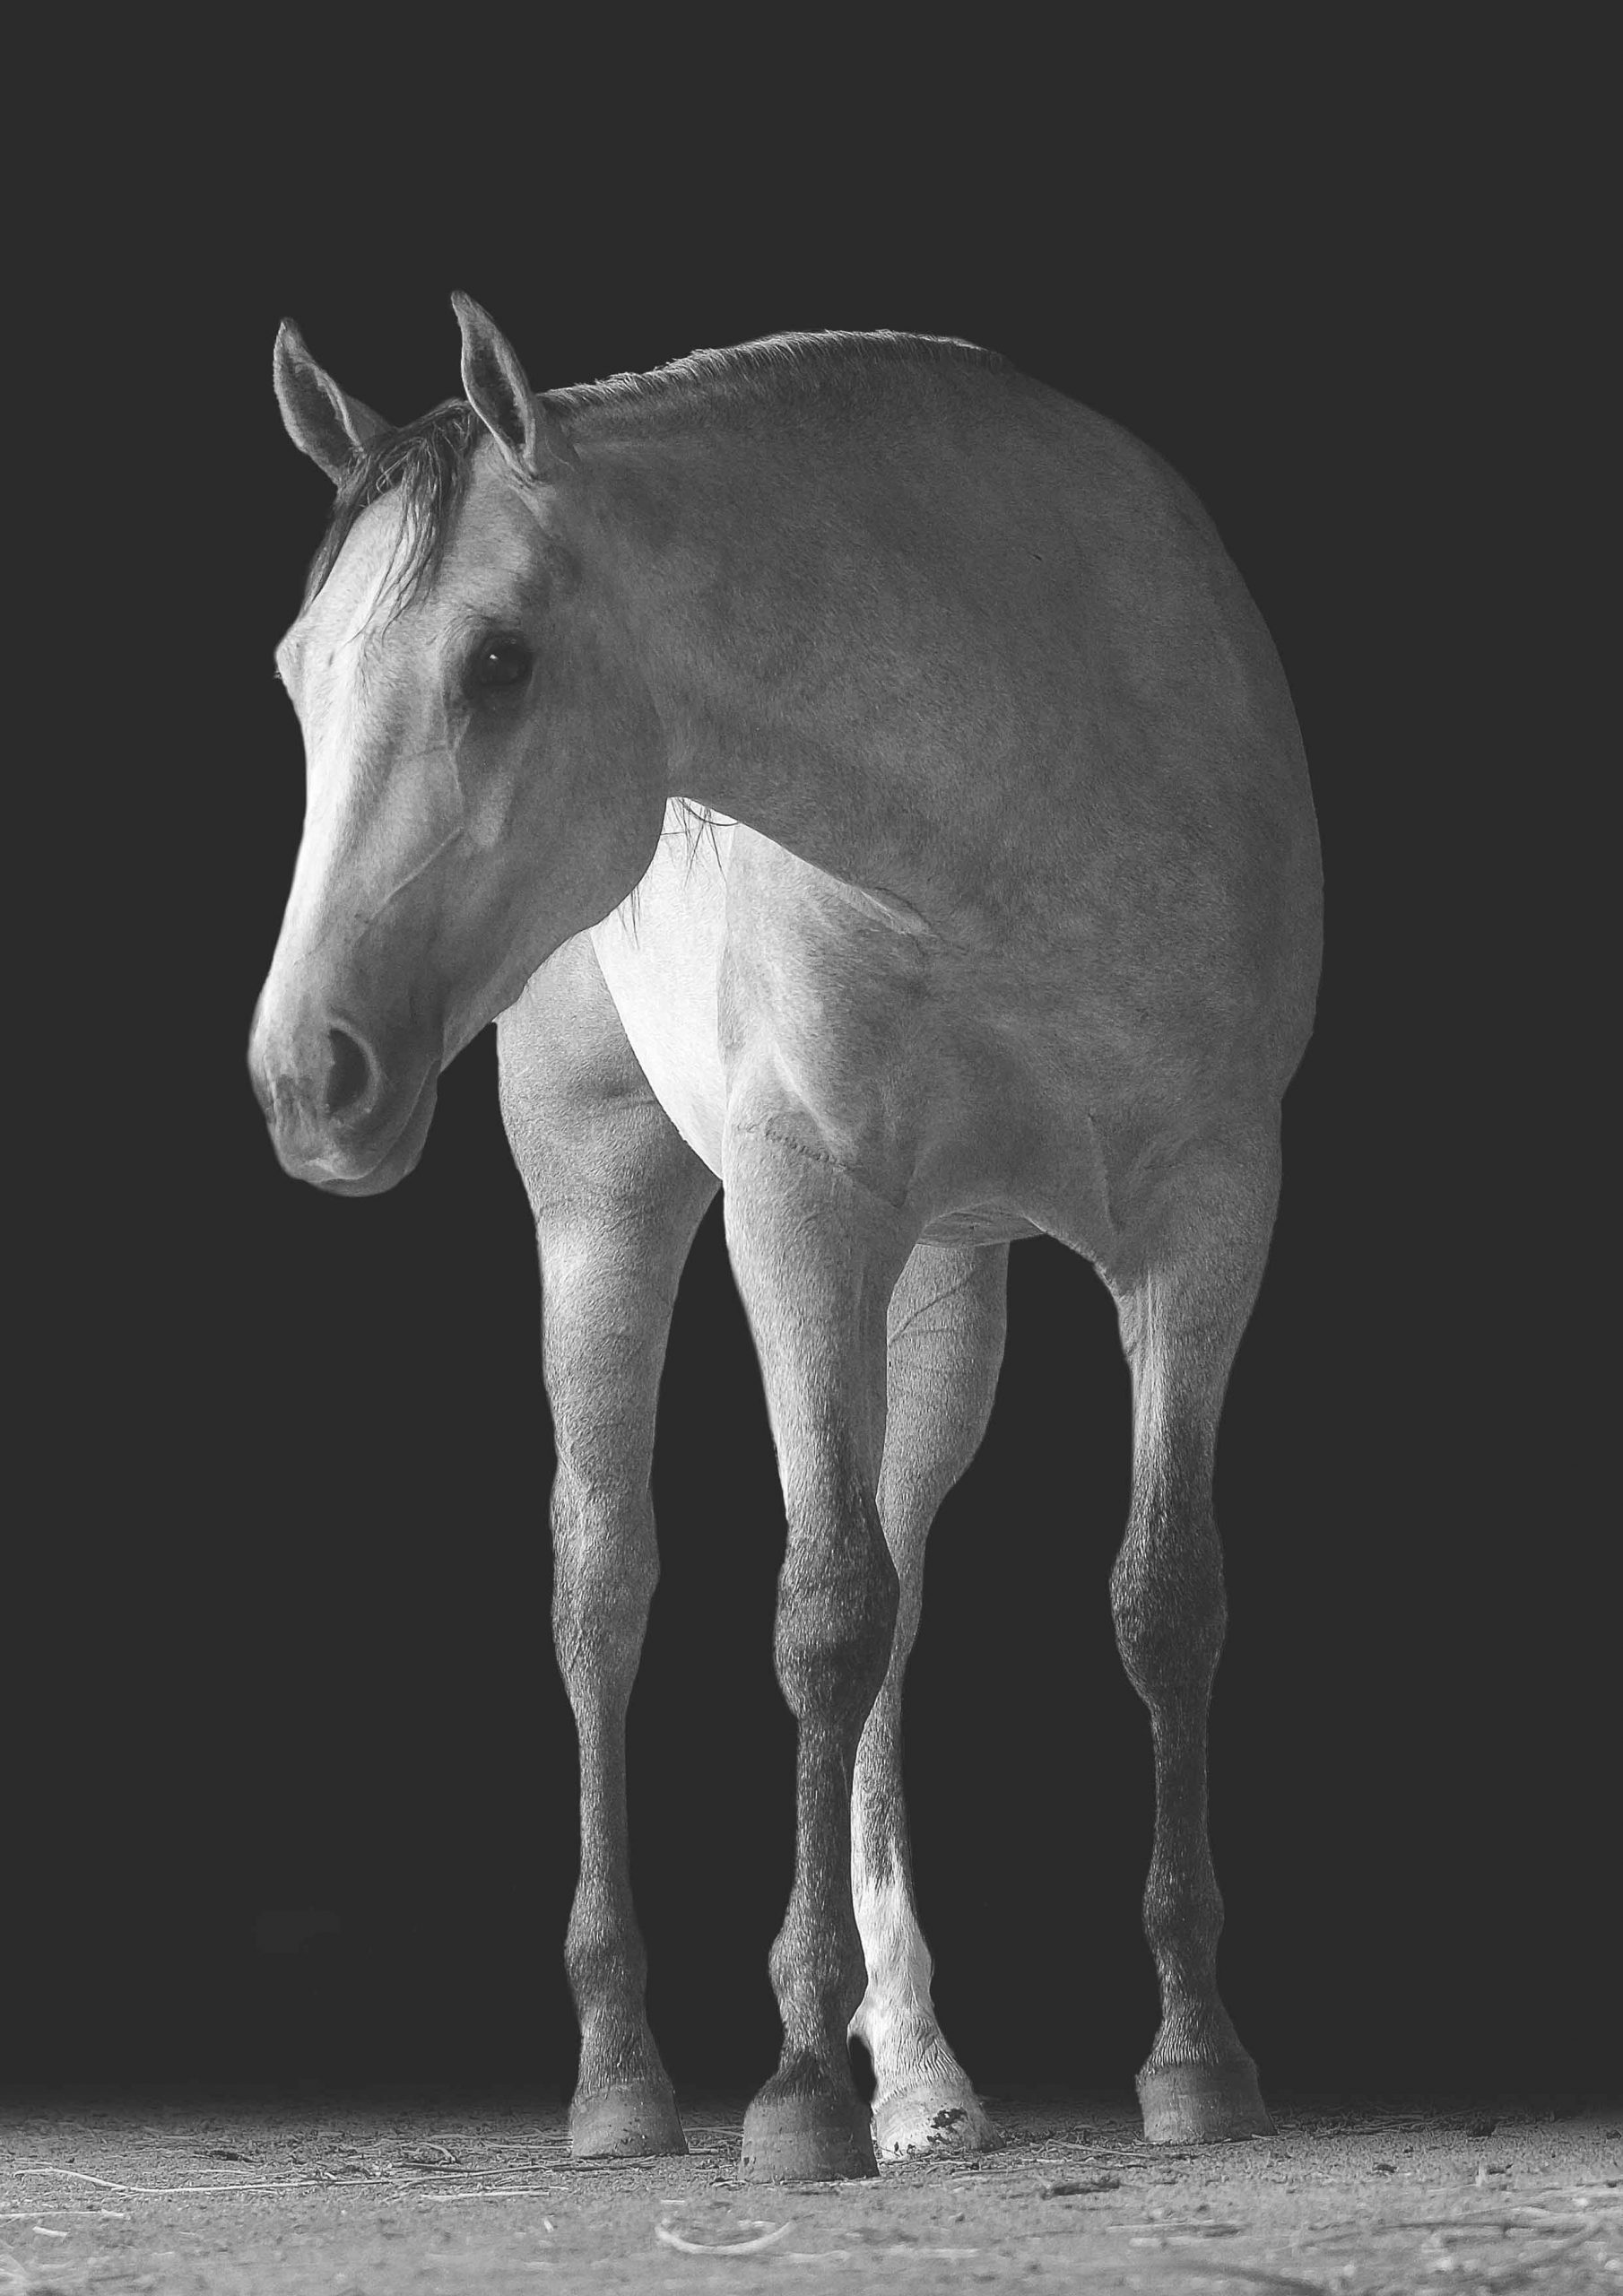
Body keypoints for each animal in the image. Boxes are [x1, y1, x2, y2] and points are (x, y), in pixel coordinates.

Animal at [249, 295, 1322, 2183]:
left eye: (499, 660)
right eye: (305, 670)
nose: (310, 1074)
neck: (1008, 792)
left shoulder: (1211, 1219)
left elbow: (1160, 1600)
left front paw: (1195, 2054)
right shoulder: (799, 1213)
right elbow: (818, 1613)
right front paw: (800, 2084)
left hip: (948, 1287)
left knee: (899, 1572)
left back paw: (925, 2076)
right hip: (608, 1200)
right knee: (606, 1585)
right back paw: (626, 2074)